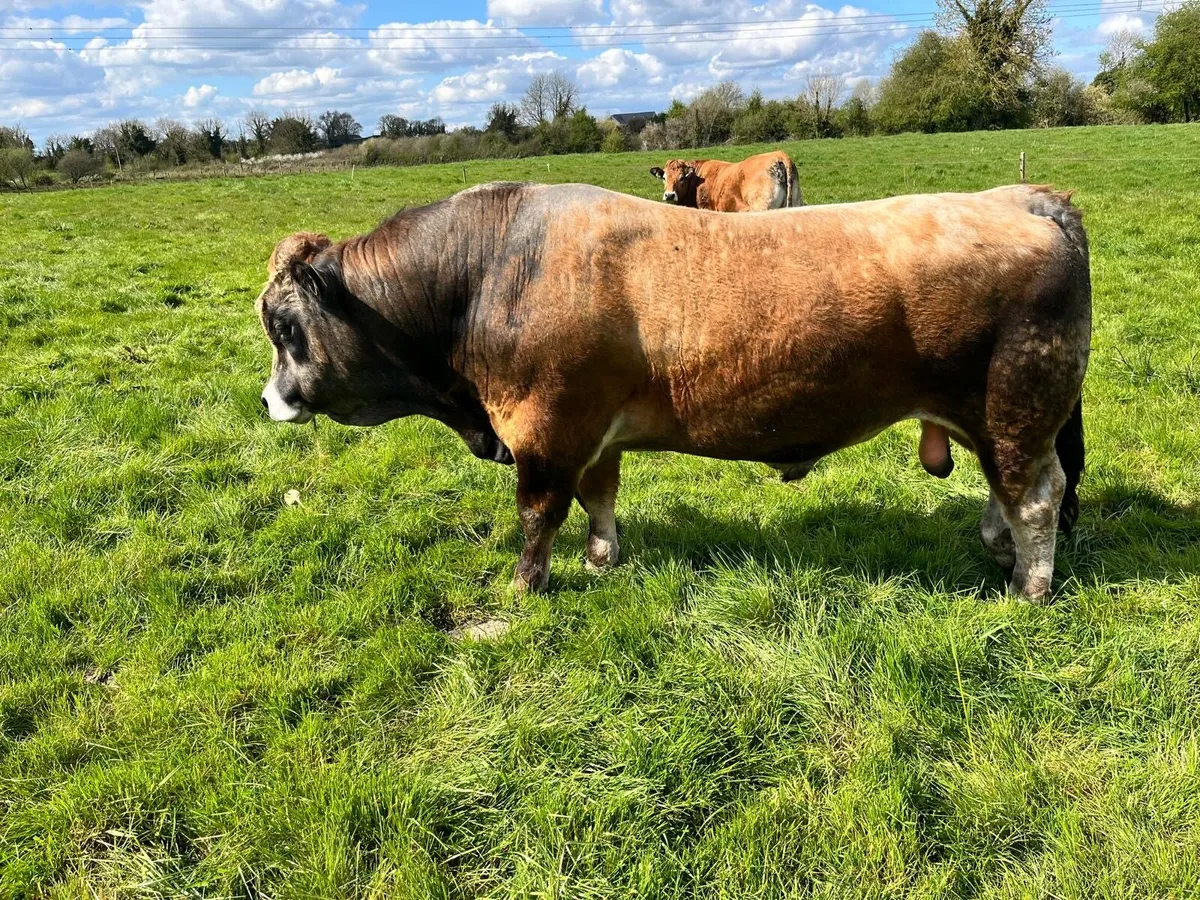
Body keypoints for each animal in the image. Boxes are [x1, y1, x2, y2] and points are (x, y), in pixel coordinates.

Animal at [256, 182, 1090, 602]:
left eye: (286, 326)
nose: (268, 400)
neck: (484, 273)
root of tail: (1021, 197)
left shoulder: (545, 429)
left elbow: (539, 515)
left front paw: (527, 587)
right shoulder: (591, 428)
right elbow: (599, 495)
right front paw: (601, 558)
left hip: (1016, 406)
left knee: (1036, 494)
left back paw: (1030, 584)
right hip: (997, 417)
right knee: (1006, 489)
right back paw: (1000, 551)